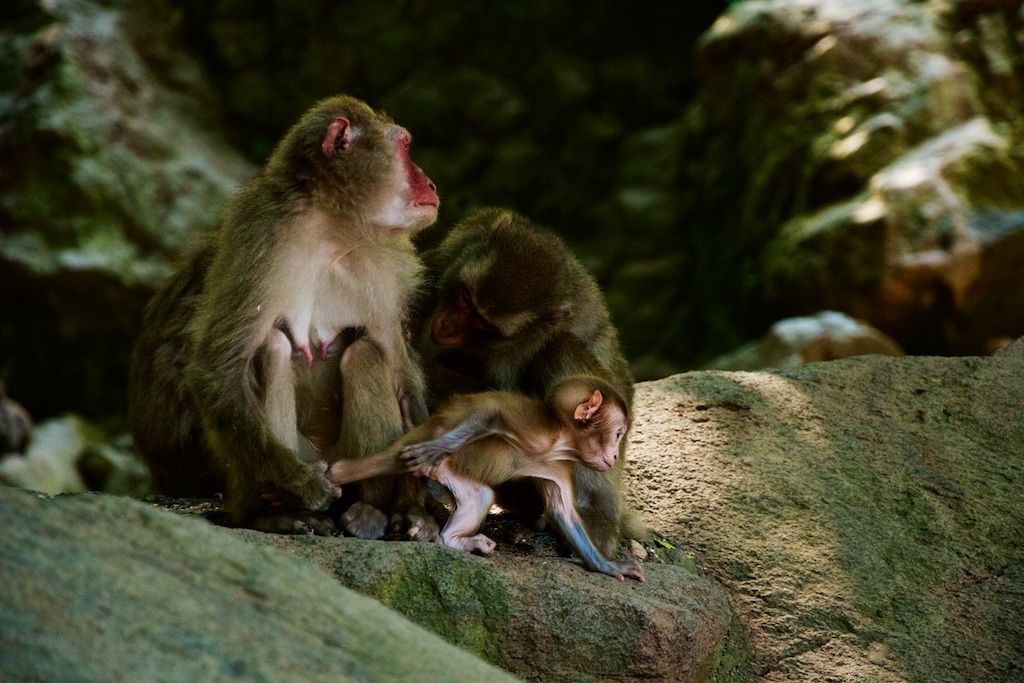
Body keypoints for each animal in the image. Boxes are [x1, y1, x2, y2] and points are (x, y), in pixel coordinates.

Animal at [128, 95, 439, 538]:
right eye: (405, 147)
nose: (430, 183)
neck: (333, 228)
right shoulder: (261, 232)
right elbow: (218, 369)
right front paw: (302, 486)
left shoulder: (386, 267)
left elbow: (399, 370)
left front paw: (415, 509)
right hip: (283, 460)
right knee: (270, 348)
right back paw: (275, 513)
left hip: (345, 462)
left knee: (366, 355)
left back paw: (369, 509)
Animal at [328, 373, 645, 582]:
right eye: (618, 434)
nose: (614, 456)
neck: (561, 441)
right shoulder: (536, 426)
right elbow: (491, 413)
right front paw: (437, 448)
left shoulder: (558, 468)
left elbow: (563, 512)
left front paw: (607, 567)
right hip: (421, 445)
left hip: (446, 471)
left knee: (480, 496)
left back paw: (454, 541)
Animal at [412, 208, 640, 559]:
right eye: (464, 297)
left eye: (483, 323)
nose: (446, 327)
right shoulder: (451, 255)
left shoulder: (523, 347)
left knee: (562, 349)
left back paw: (593, 517)